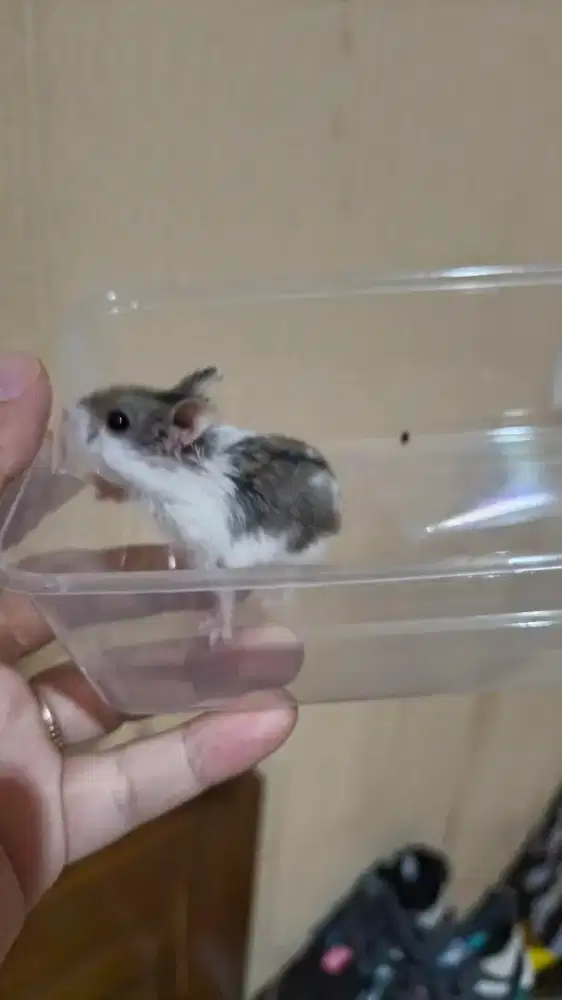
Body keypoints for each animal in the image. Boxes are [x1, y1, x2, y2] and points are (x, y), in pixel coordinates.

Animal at [68, 366, 342, 643]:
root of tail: (337, 503)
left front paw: (214, 634)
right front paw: (99, 486)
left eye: (117, 421)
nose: (69, 410)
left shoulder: (213, 557)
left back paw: (269, 600)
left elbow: (224, 598)